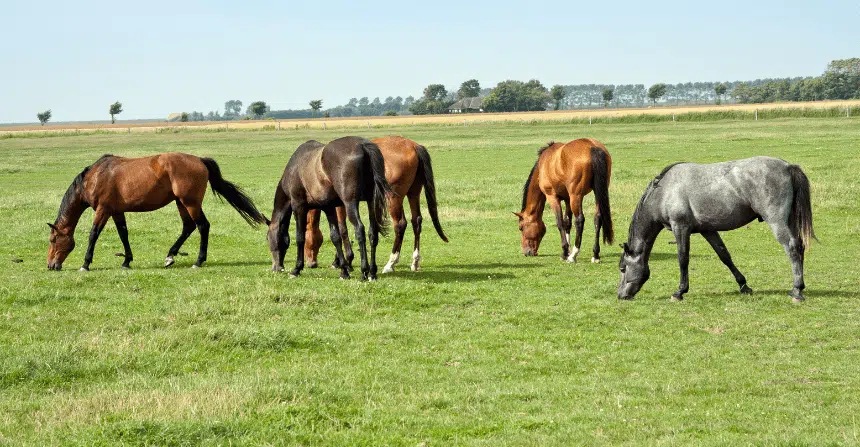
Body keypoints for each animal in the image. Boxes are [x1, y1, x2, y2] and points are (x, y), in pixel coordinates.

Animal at [47, 154, 268, 272]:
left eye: (53, 240)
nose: (50, 265)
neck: (94, 177)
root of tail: (199, 160)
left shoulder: (103, 210)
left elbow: (93, 234)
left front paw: (85, 263)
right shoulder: (117, 211)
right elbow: (123, 234)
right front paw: (126, 261)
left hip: (190, 202)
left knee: (202, 226)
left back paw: (198, 261)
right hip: (181, 203)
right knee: (188, 227)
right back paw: (170, 256)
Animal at [266, 136, 394, 280]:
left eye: (268, 238)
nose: (276, 267)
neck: (295, 168)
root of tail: (362, 145)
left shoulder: (299, 206)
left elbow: (300, 237)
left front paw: (296, 269)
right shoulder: (328, 208)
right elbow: (335, 237)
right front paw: (344, 270)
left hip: (350, 203)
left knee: (360, 230)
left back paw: (364, 271)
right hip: (371, 202)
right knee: (373, 233)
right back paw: (372, 272)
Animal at [304, 136, 450, 274]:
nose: (311, 263)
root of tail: (414, 146)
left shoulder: (342, 204)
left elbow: (342, 229)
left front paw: (345, 261)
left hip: (393, 198)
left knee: (400, 224)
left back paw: (390, 263)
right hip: (413, 193)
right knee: (416, 221)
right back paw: (415, 262)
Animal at [620, 158, 812, 304]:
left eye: (622, 268)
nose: (621, 295)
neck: (665, 191)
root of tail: (787, 166)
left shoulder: (680, 228)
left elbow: (683, 259)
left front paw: (679, 292)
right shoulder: (708, 230)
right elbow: (724, 256)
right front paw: (743, 285)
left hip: (776, 221)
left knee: (792, 247)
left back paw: (797, 291)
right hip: (790, 221)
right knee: (800, 246)